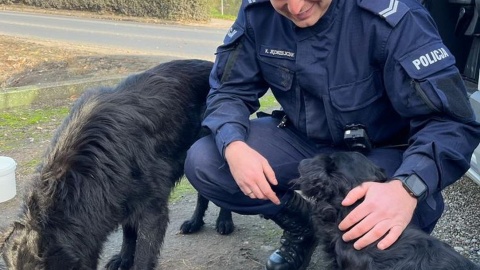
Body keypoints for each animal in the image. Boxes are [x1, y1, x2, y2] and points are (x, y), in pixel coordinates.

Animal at [0, 59, 214, 270]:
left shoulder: (152, 210)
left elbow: (143, 255)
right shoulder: (122, 199)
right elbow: (129, 231)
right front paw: (124, 258)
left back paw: (206, 223)